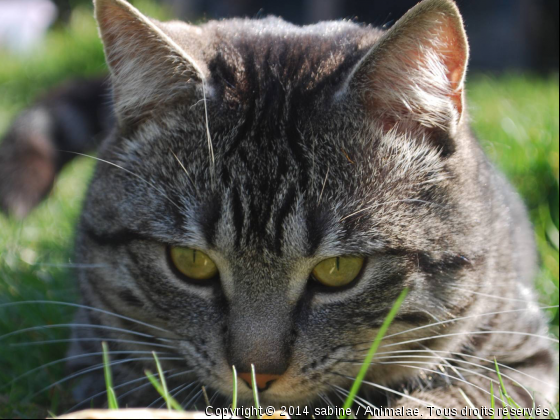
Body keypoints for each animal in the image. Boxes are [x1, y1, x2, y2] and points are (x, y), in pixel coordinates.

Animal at [1, 0, 556, 416]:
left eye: (340, 269)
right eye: (190, 262)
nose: (255, 374)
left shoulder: (525, 360)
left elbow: (436, 404)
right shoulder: (95, 352)